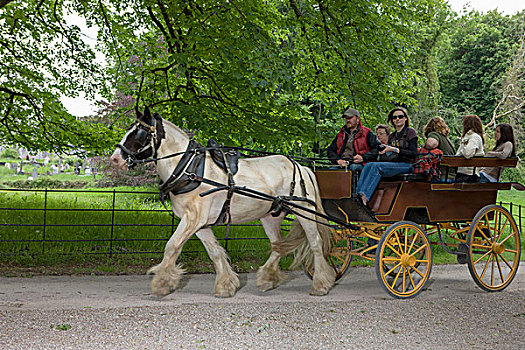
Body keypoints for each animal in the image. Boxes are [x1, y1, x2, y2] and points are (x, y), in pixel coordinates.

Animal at [109, 108, 336, 296]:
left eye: (140, 133)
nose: (114, 159)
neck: (190, 169)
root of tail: (300, 166)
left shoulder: (193, 219)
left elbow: (172, 246)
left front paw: (162, 283)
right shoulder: (199, 223)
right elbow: (215, 252)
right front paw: (226, 286)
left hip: (305, 212)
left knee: (315, 243)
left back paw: (320, 284)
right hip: (271, 217)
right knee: (277, 246)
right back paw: (266, 278)